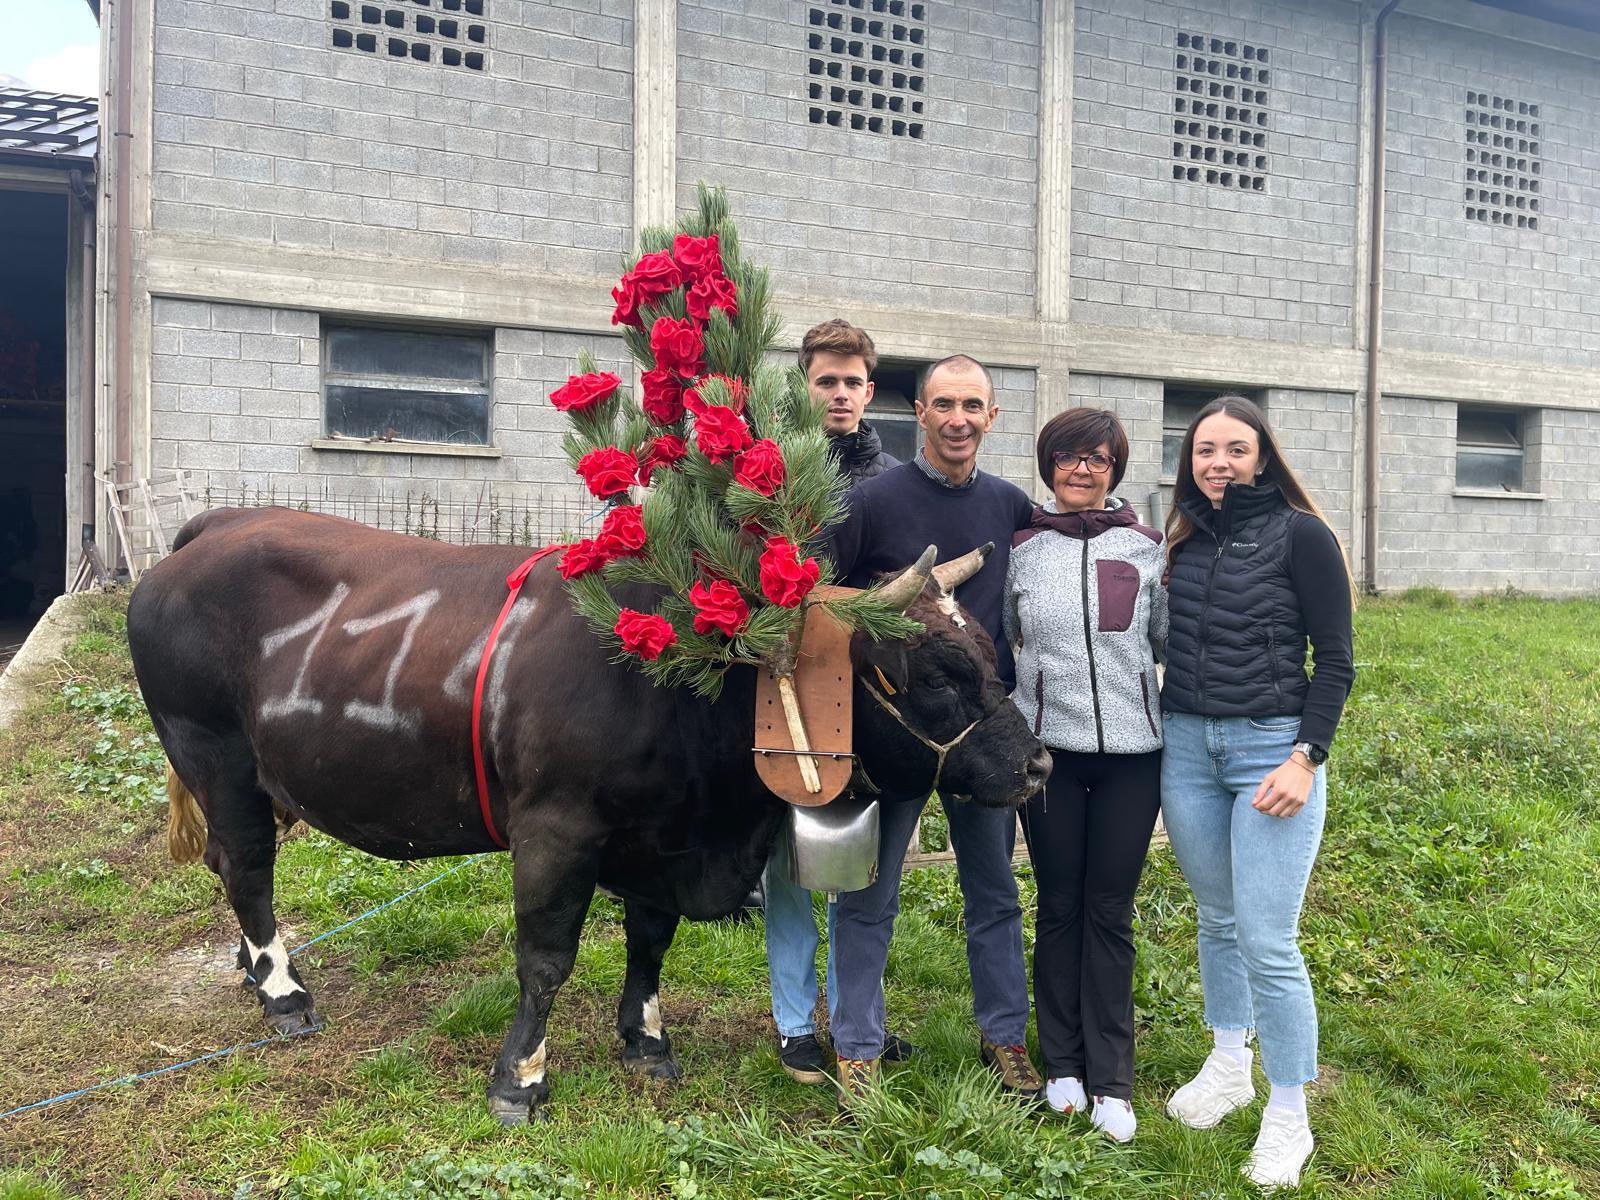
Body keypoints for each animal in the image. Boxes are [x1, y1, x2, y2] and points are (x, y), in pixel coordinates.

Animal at [124, 502, 1049, 1126]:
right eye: (937, 673)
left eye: (990, 650)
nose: (1037, 765)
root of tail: (219, 524)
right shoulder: (555, 830)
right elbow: (544, 961)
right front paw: (520, 1077)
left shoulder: (664, 837)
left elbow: (650, 941)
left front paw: (645, 1040)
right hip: (215, 755)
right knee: (247, 866)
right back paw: (282, 990)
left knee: (231, 867)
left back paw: (255, 968)